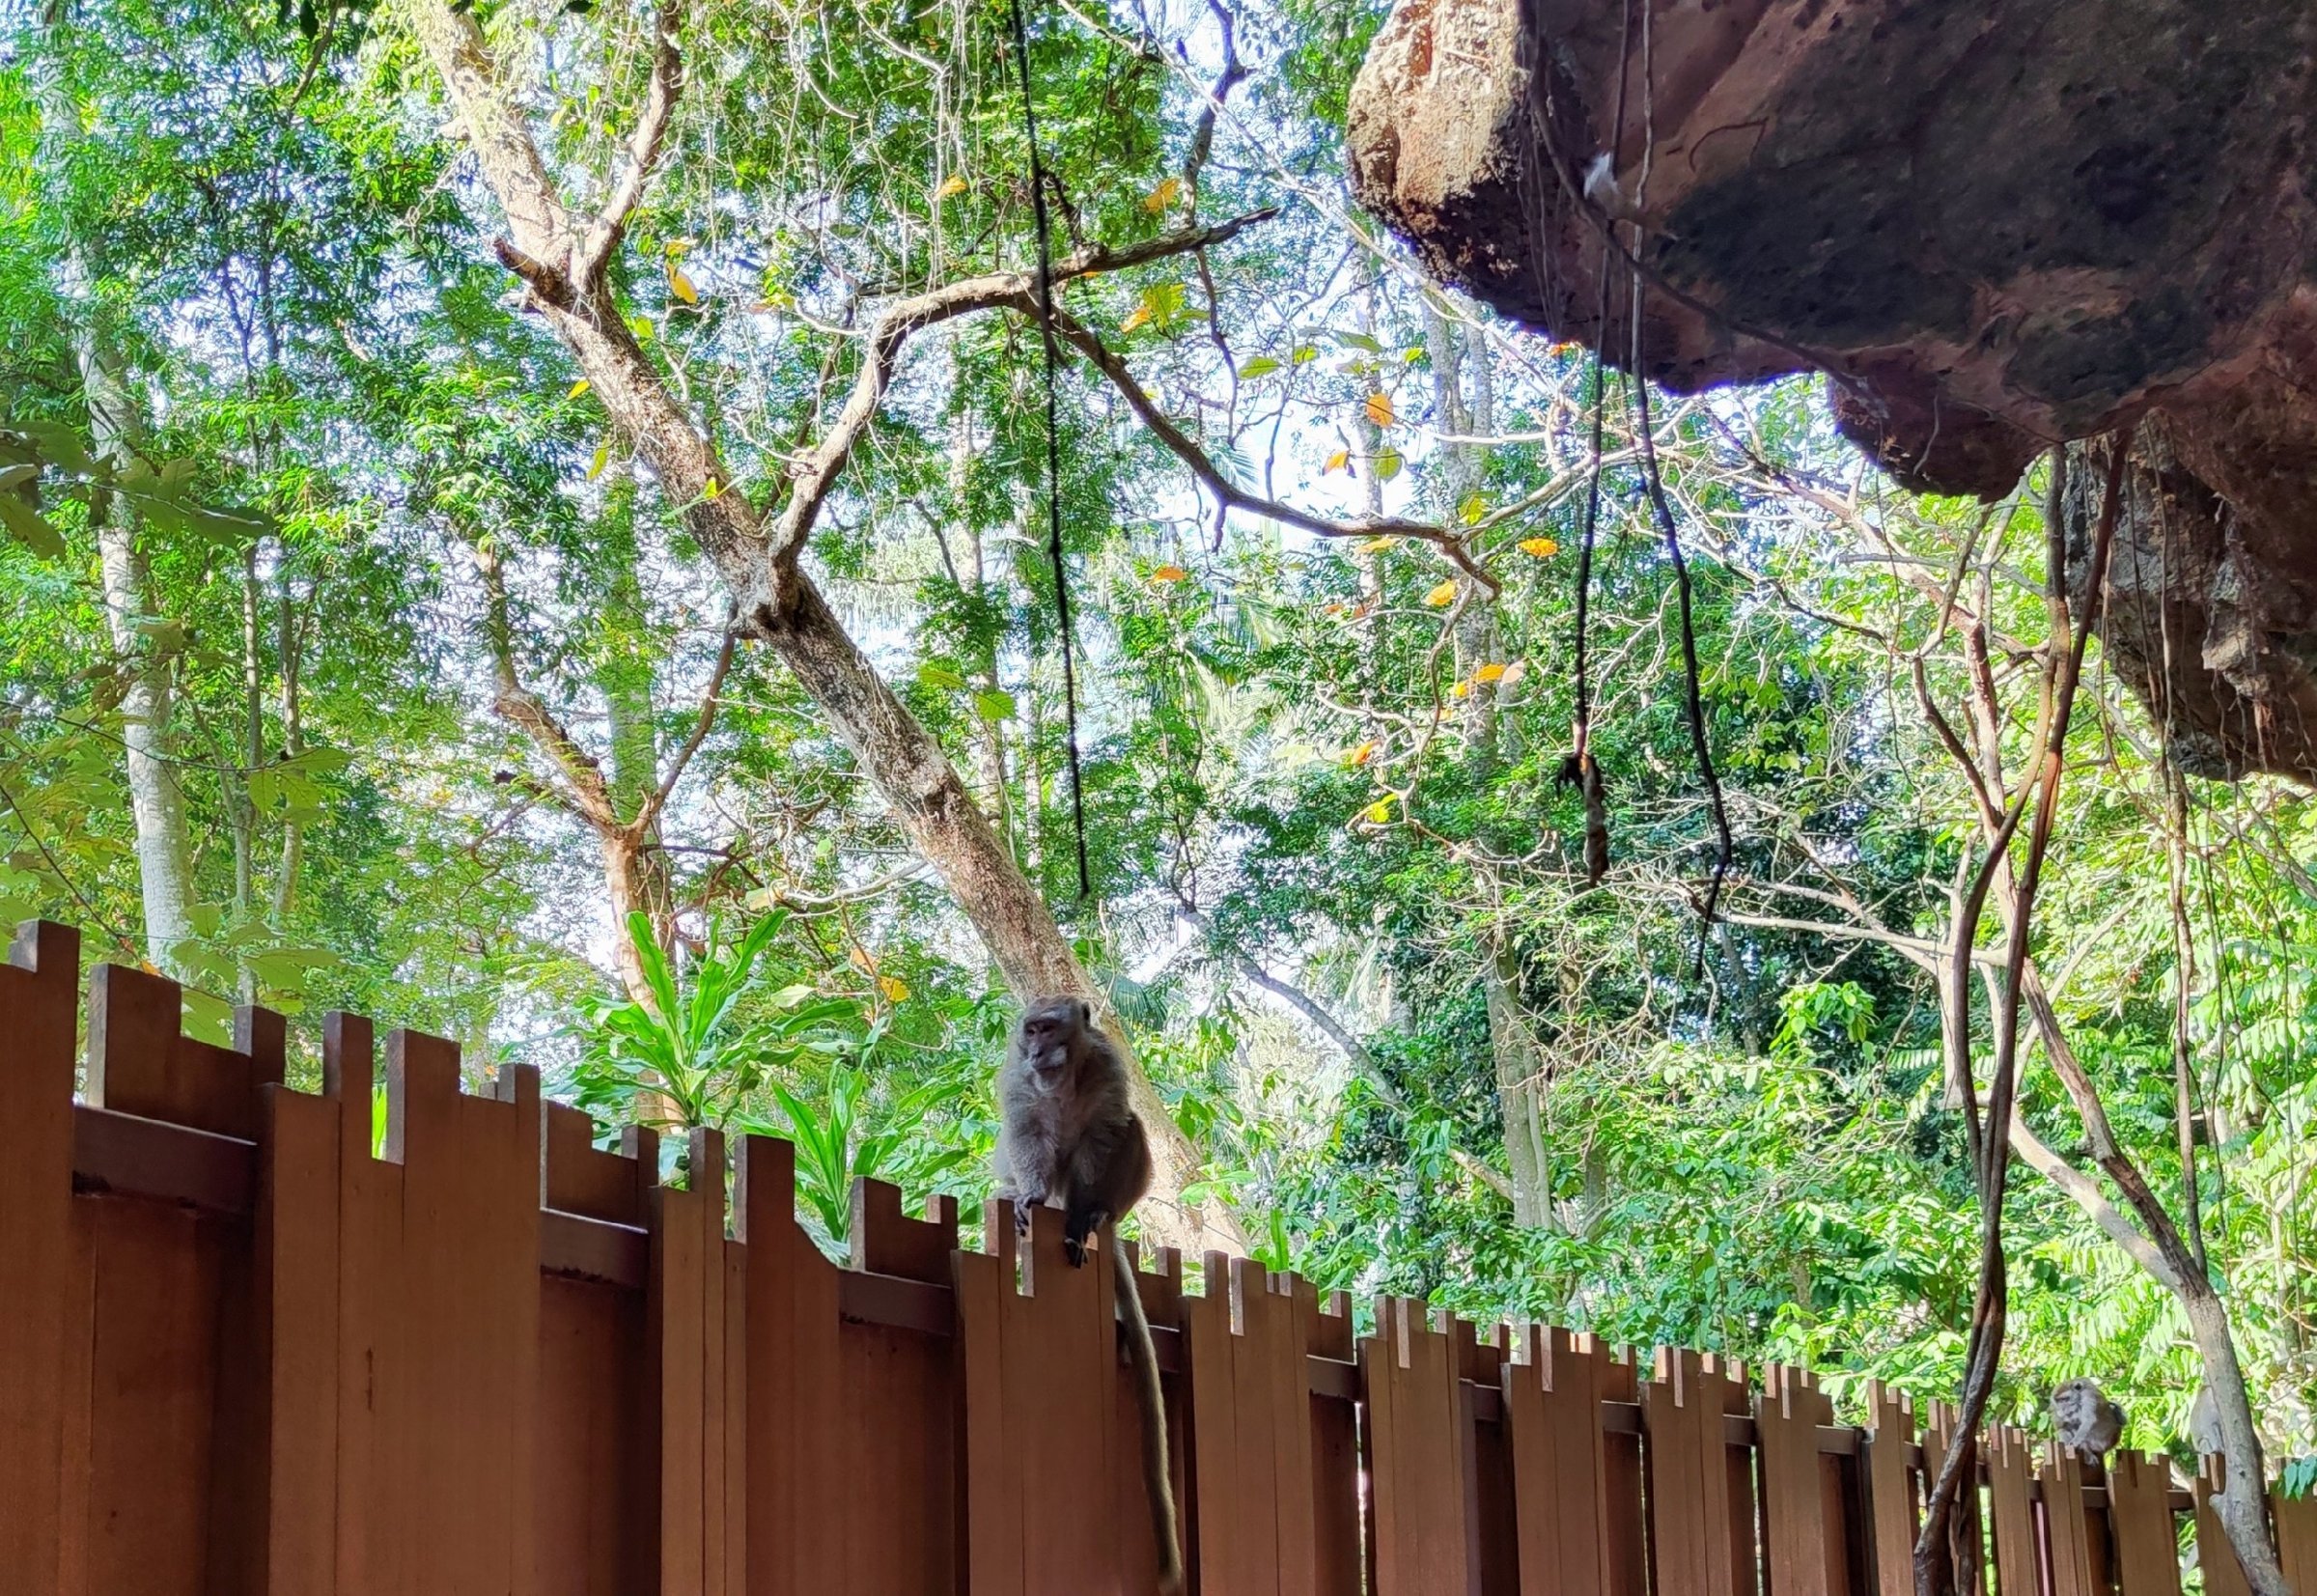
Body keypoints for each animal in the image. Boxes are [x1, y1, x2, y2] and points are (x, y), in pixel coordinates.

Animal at [994, 995, 1183, 1596]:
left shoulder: (1106, 1068)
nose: (1036, 1050)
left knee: (1130, 1129)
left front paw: (1083, 1215)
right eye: (1029, 1031)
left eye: (1049, 1028)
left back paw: (1096, 1215)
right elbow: (1026, 1129)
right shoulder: (1018, 1080)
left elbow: (1102, 1133)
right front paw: (1030, 1195)